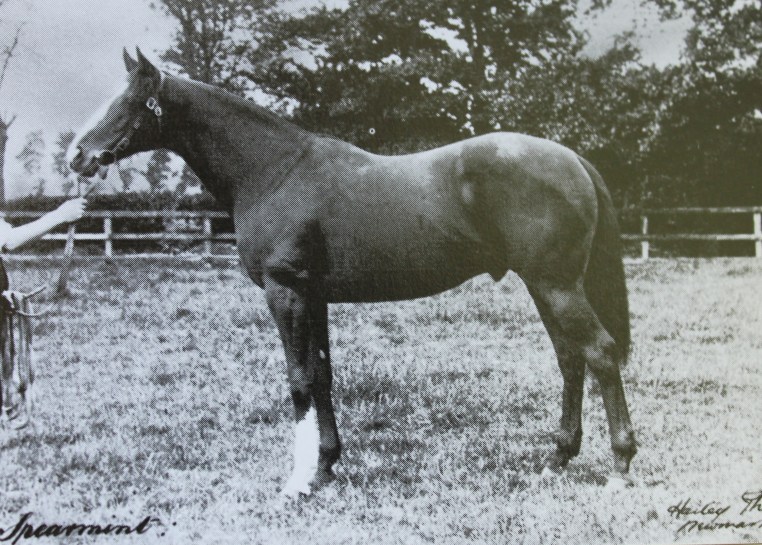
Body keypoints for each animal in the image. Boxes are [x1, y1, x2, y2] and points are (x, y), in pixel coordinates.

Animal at [67, 48, 637, 496]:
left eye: (128, 102)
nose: (78, 156)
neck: (274, 171)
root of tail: (572, 159)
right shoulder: (313, 296)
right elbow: (322, 376)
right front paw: (325, 468)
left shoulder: (286, 293)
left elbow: (299, 380)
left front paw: (298, 481)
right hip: (546, 287)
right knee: (571, 360)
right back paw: (556, 459)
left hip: (556, 286)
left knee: (600, 354)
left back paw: (620, 464)